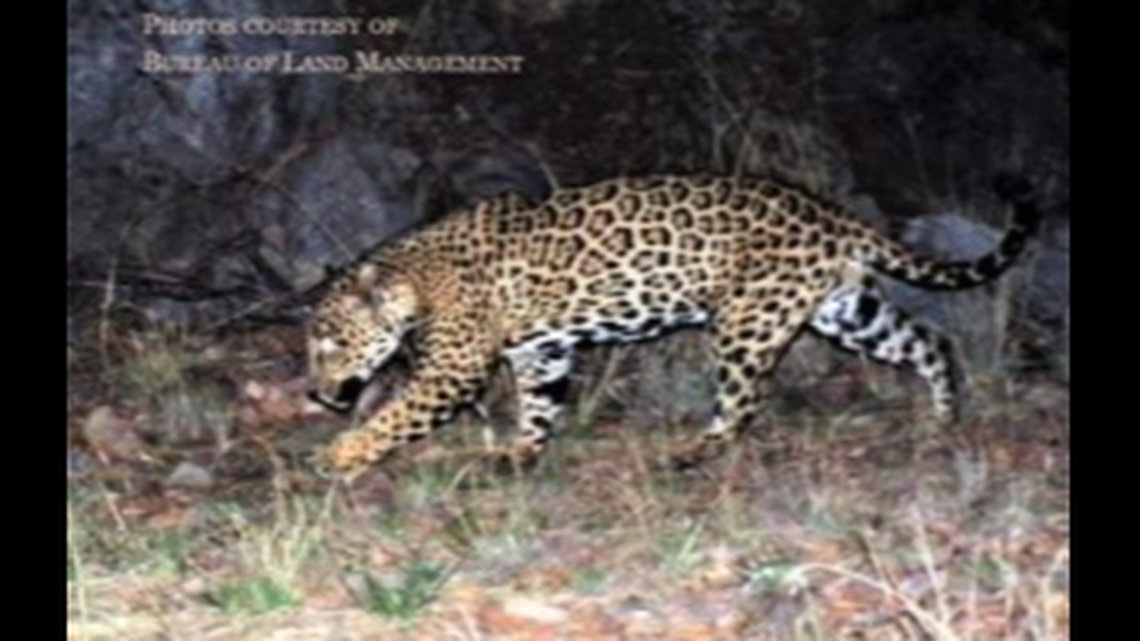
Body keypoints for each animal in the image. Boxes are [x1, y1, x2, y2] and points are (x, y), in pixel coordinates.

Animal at [306, 174, 1039, 477]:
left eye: (332, 343)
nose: (316, 392)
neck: (413, 278)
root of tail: (830, 214)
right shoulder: (543, 352)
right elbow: (539, 406)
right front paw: (523, 451)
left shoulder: (453, 370)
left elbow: (396, 414)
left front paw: (341, 454)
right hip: (844, 311)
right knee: (928, 340)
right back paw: (943, 417)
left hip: (746, 324)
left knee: (742, 407)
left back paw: (692, 452)